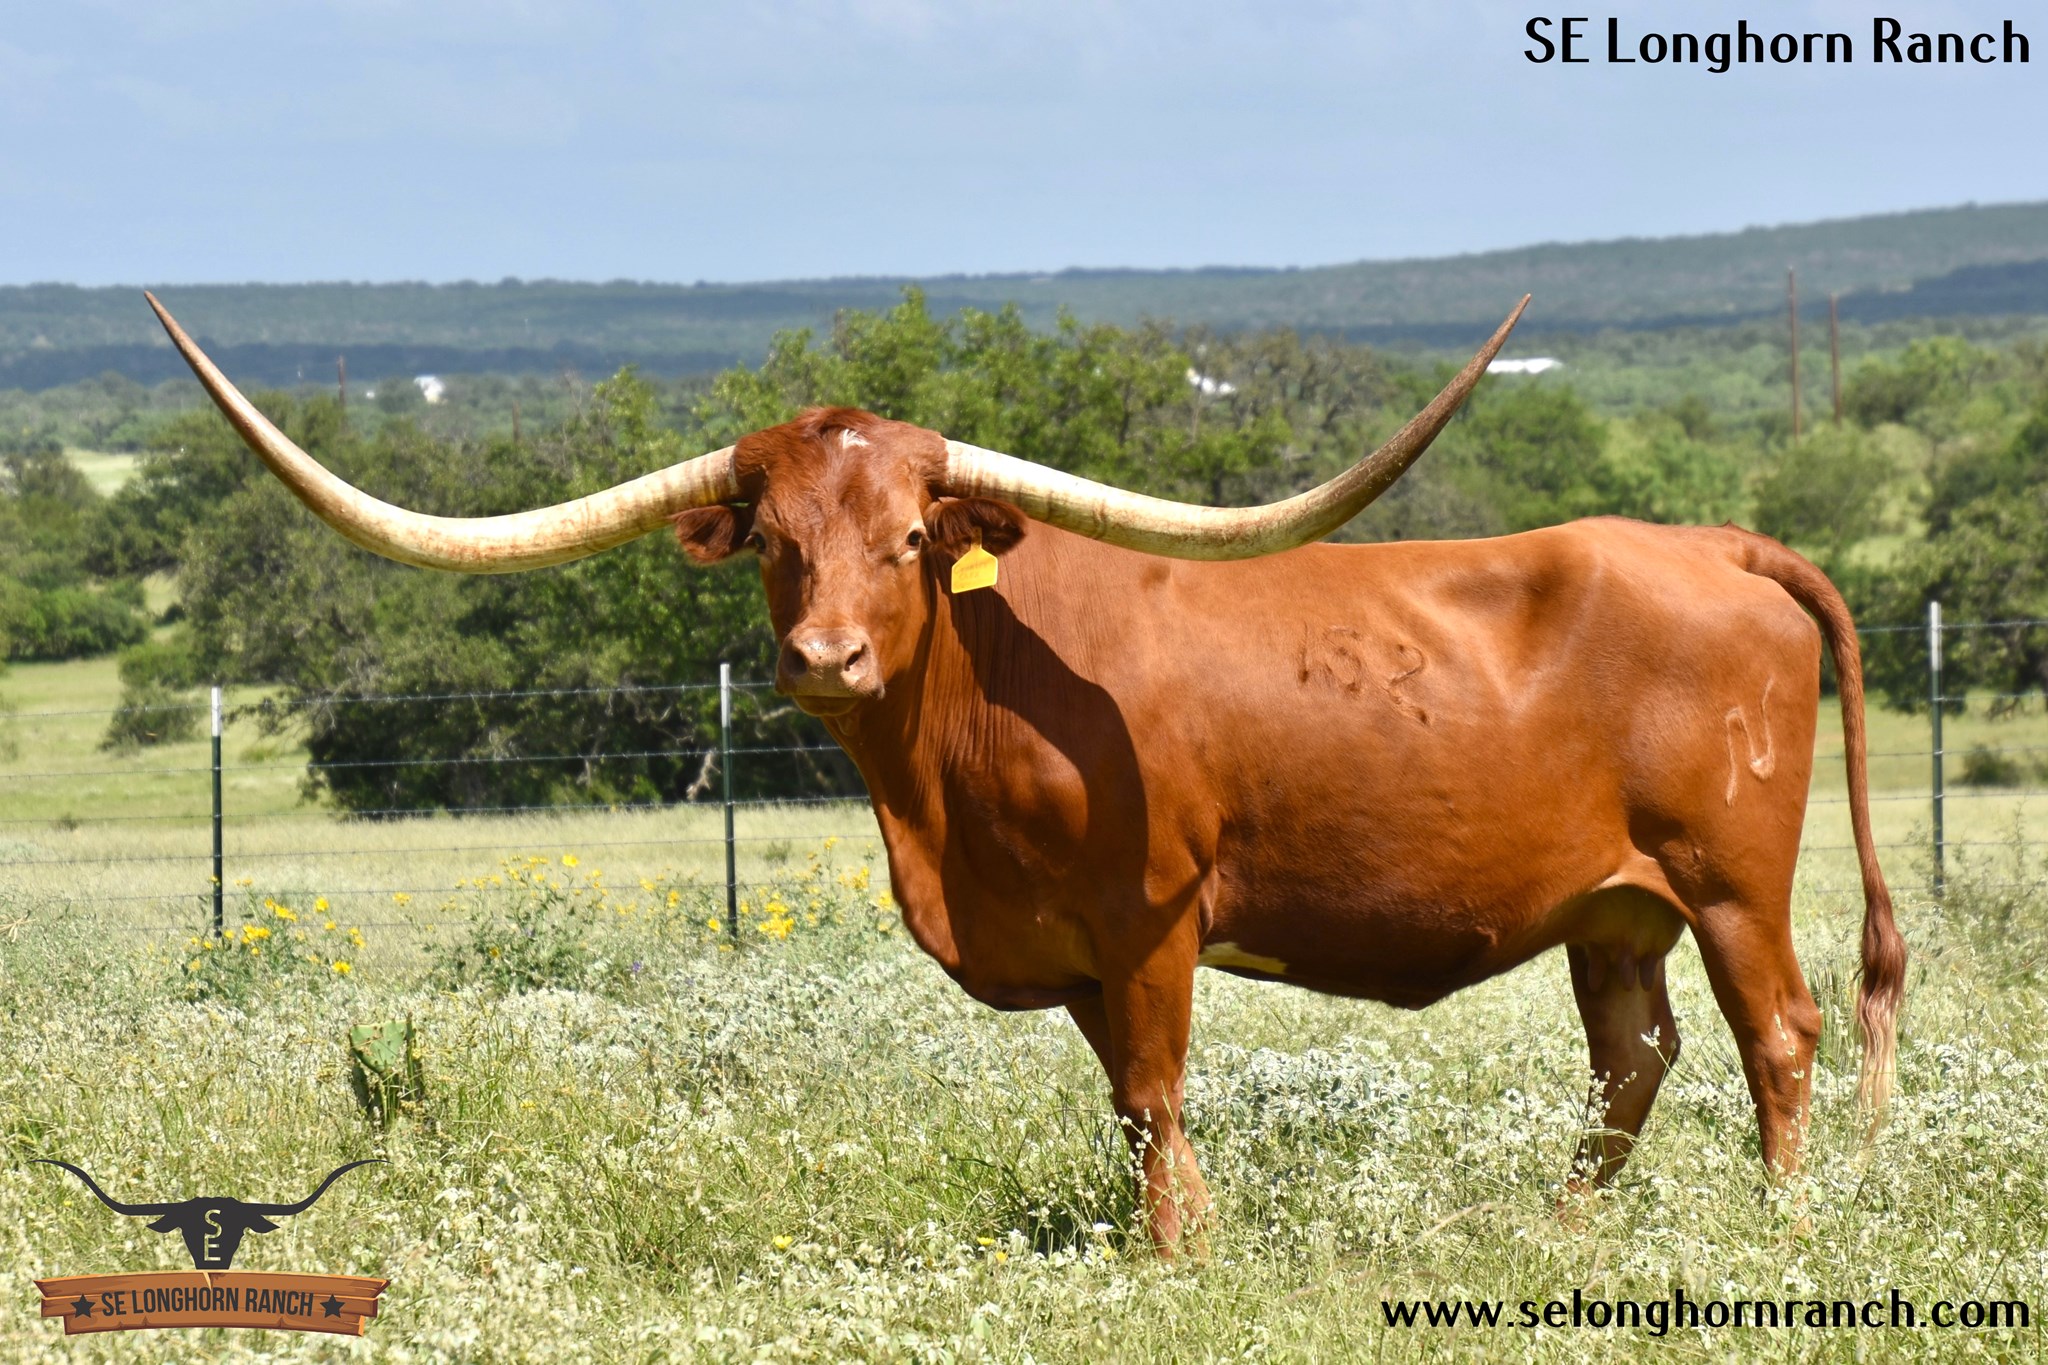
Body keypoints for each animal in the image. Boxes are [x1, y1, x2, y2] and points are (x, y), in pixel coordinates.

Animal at [146, 292, 1904, 1255]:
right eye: (775, 542)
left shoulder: (1154, 920)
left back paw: (1783, 1232)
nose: (825, 657)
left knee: (1781, 1037)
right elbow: (1123, 1108)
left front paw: (1176, 1260)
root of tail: (1712, 539)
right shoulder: (1067, 953)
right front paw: (1171, 1238)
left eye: (910, 539)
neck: (949, 784)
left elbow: (1157, 1094)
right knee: (1634, 1057)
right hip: (1613, 905)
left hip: (1731, 880)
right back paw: (1551, 1232)